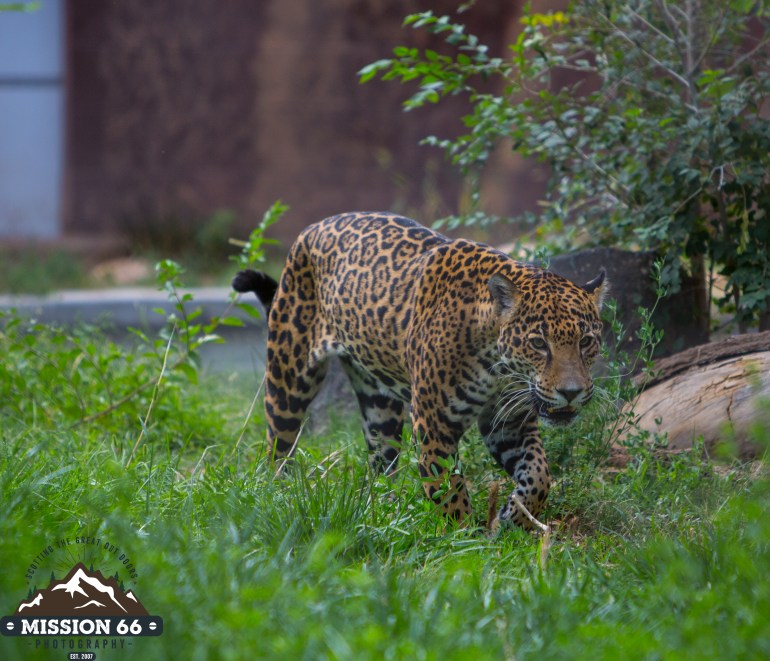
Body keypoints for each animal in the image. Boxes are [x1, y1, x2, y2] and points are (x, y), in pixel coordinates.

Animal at [233, 212, 606, 529]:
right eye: (539, 343)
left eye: (586, 341)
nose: (571, 392)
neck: (496, 364)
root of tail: (311, 228)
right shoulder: (433, 424)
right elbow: (448, 490)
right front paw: (465, 544)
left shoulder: (509, 422)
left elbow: (540, 475)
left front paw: (514, 517)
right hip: (288, 377)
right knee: (278, 446)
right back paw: (280, 494)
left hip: (379, 405)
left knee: (381, 461)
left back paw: (386, 509)